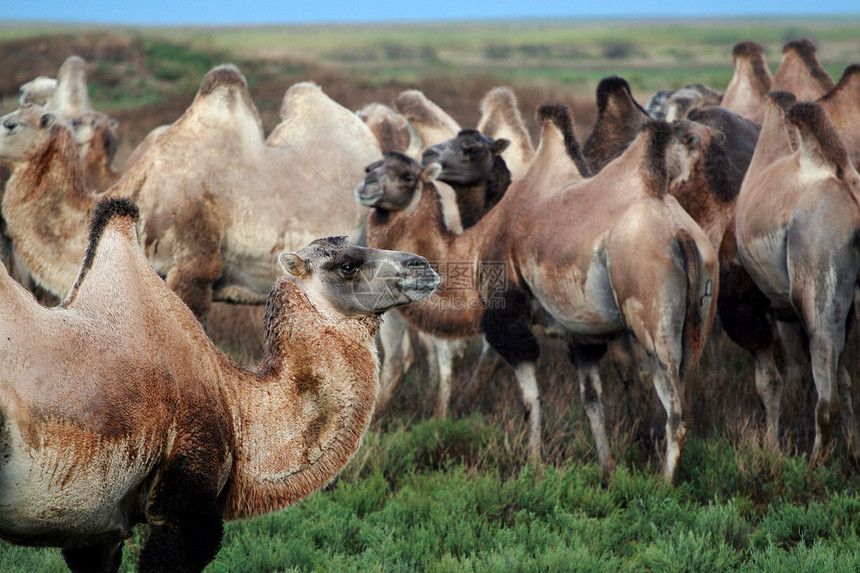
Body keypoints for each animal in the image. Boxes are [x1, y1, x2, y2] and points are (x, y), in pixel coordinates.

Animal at [358, 104, 720, 482]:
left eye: (406, 175)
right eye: (373, 166)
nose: (366, 183)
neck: (473, 247)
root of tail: (682, 235)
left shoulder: (506, 317)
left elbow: (531, 400)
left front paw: (534, 468)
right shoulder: (581, 330)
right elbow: (592, 401)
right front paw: (607, 471)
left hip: (650, 314)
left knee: (676, 412)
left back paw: (664, 485)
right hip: (699, 317)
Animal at [732, 92, 860, 460]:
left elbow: (770, 383)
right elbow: (844, 378)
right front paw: (854, 452)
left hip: (817, 284)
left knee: (826, 401)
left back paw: (812, 464)